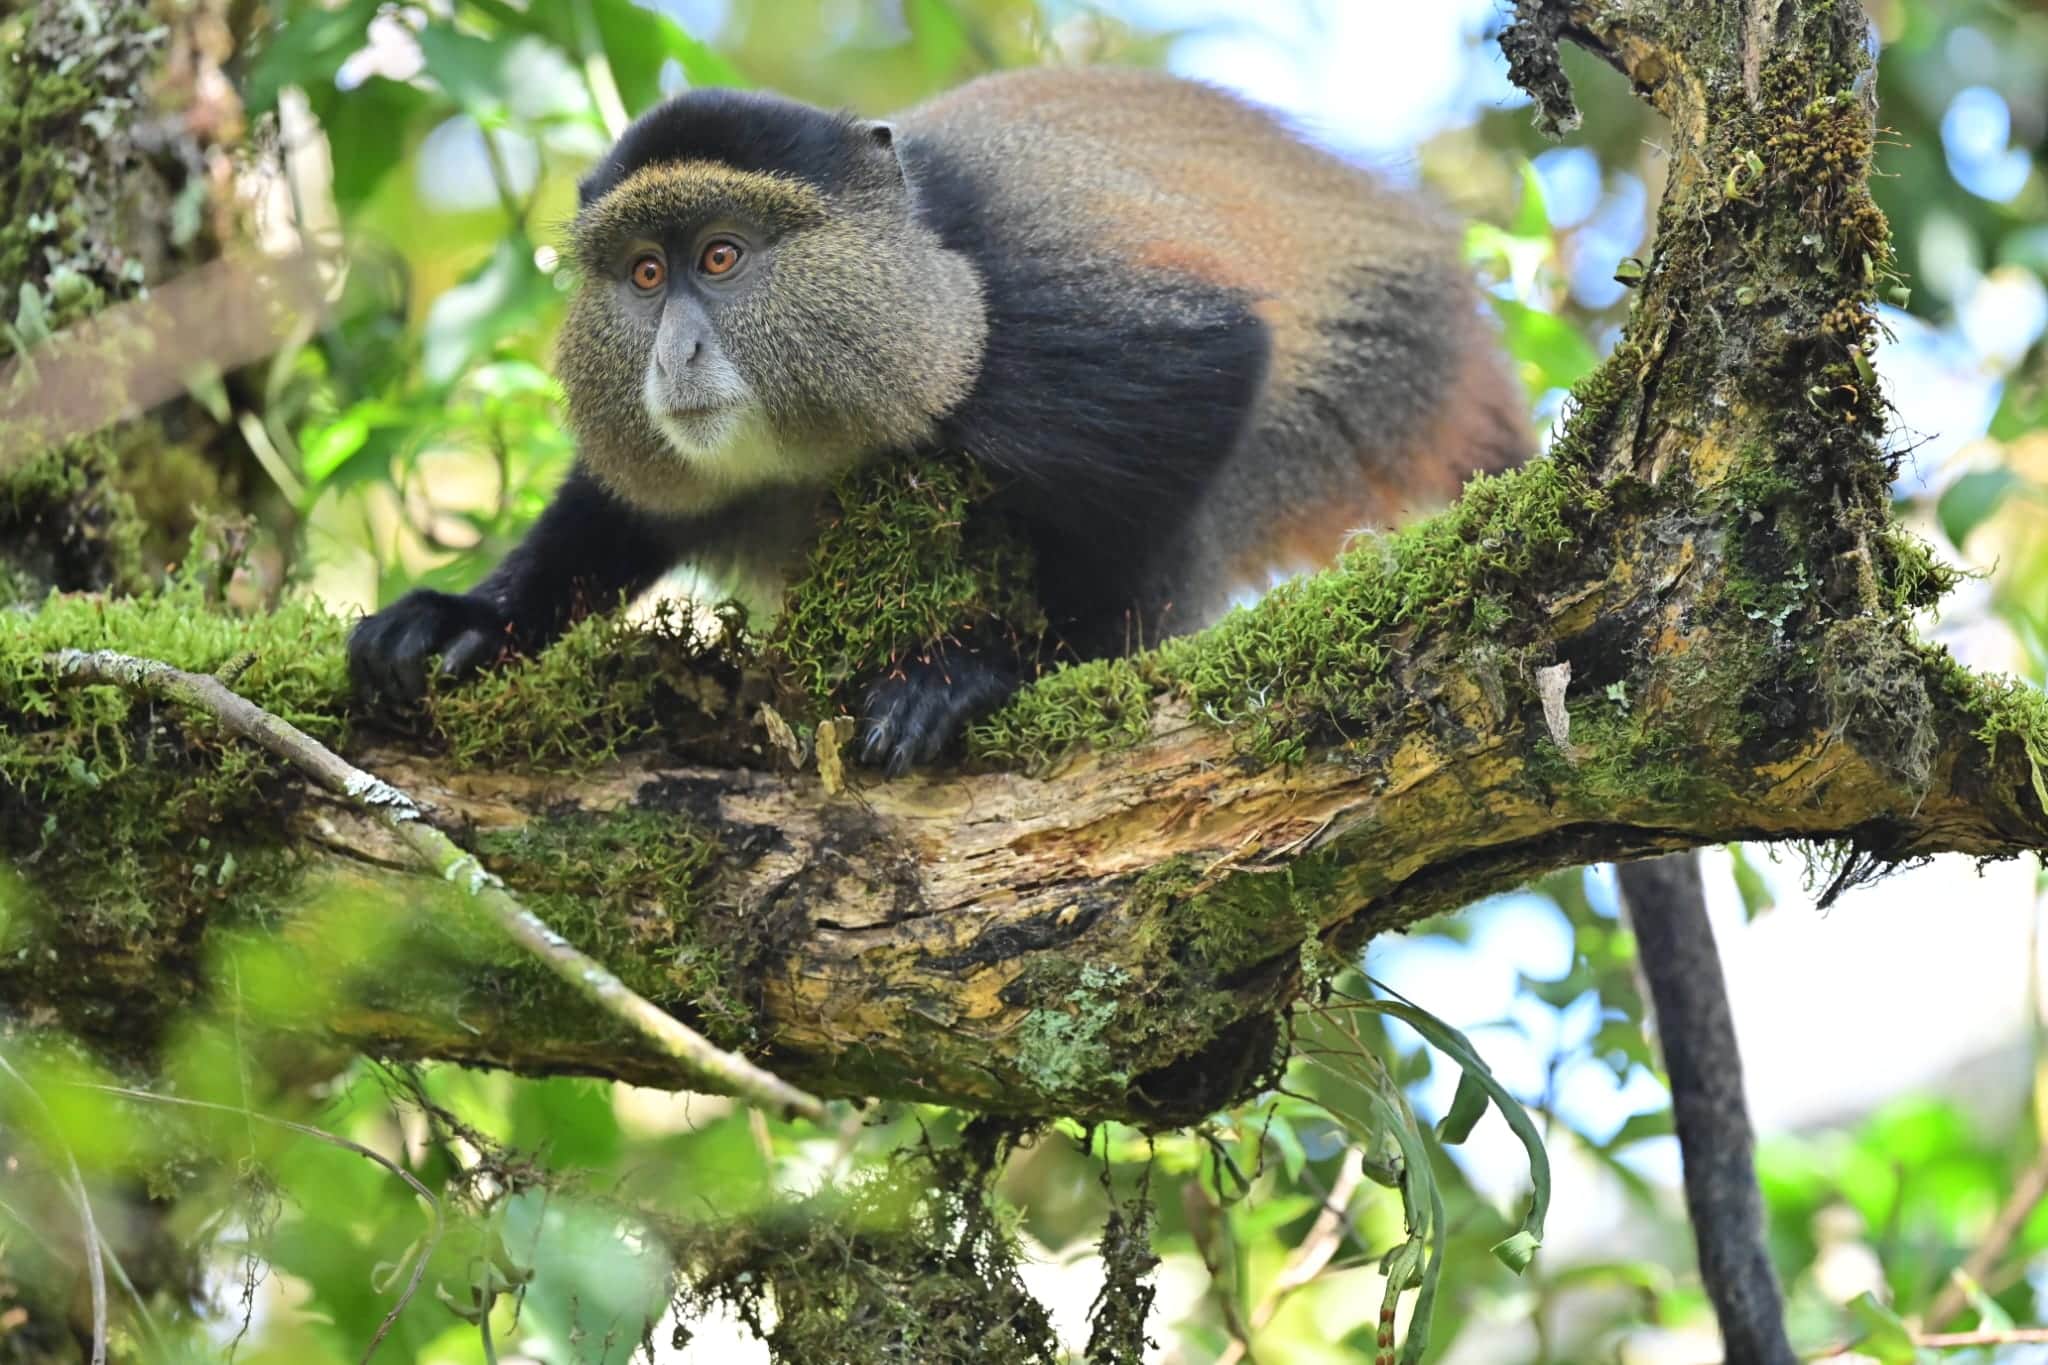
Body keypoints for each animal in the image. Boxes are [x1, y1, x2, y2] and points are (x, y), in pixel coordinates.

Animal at [348, 67, 1530, 772]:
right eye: (644, 274)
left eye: (720, 257)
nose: (673, 353)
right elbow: (625, 508)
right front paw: (463, 620)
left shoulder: (1029, 325)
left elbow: (1213, 366)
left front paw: (993, 673)